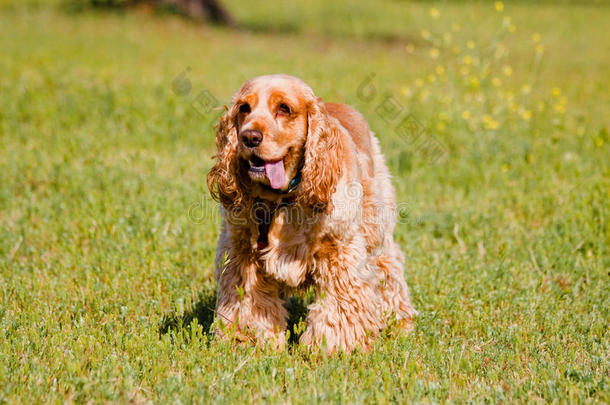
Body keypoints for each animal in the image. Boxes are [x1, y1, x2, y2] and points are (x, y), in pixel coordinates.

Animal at [207, 75, 416, 350]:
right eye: (244, 108)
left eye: (284, 108)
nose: (249, 137)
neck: (281, 200)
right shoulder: (241, 252)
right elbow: (249, 303)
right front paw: (249, 343)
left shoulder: (339, 250)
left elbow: (337, 306)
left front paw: (333, 348)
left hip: (377, 228)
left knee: (389, 267)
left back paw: (399, 323)